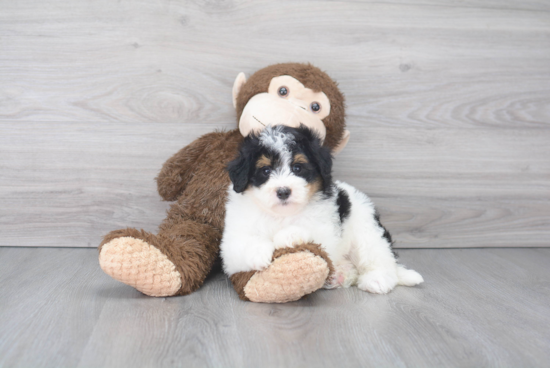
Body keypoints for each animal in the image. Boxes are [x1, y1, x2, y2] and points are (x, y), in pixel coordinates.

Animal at [222, 125, 424, 294]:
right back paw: (340, 275)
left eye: (297, 168)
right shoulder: (232, 239)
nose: (283, 191)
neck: (282, 215)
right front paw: (257, 253)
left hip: (366, 230)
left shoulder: (327, 229)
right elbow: (241, 243)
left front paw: (288, 235)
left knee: (378, 257)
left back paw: (377, 279)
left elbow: (312, 232)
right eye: (265, 171)